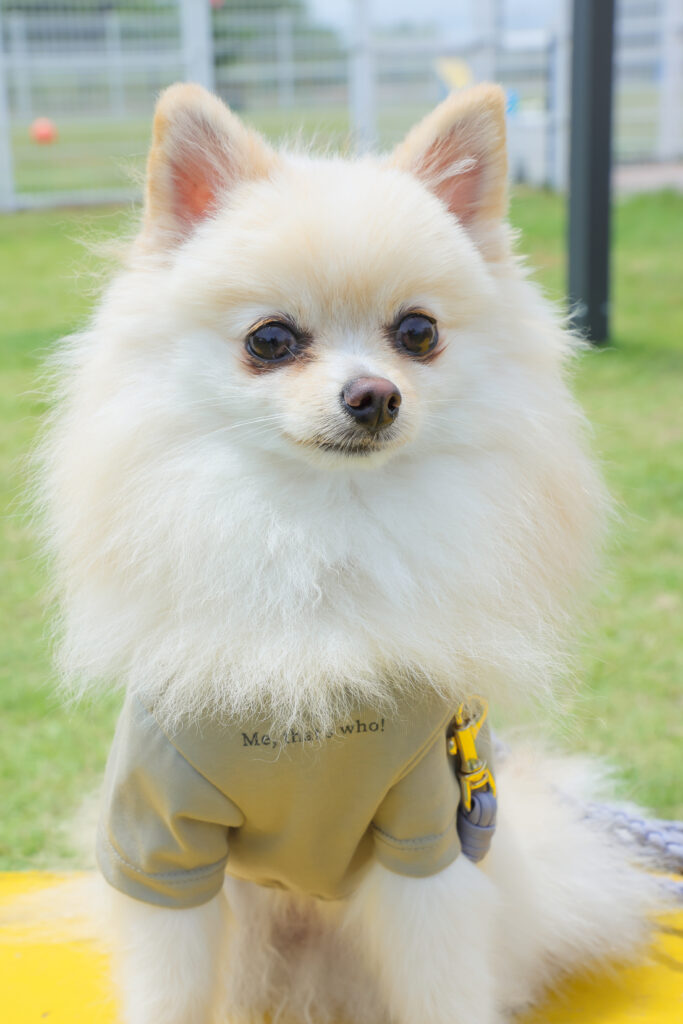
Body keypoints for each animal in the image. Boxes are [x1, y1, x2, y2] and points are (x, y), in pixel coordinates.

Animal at [39, 83, 661, 1024]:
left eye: (418, 332)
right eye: (269, 340)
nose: (374, 395)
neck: (321, 533)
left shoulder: (430, 830)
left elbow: (442, 987)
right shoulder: (162, 840)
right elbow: (170, 990)